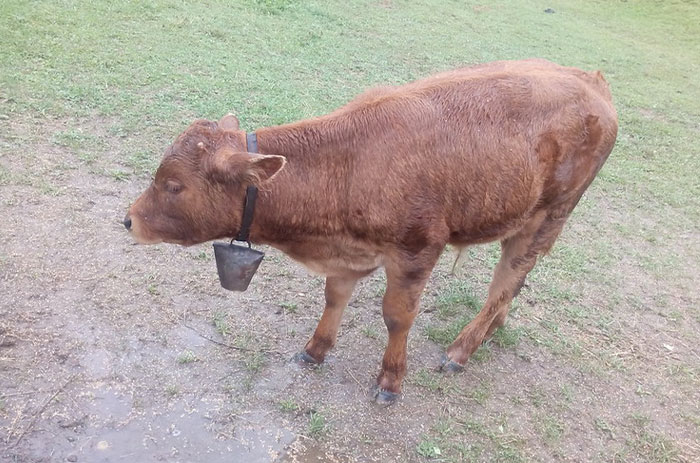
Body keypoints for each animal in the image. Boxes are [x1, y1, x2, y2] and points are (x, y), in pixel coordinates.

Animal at [126, 59, 616, 406]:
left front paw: (391, 381)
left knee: (507, 281)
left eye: (174, 185)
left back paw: (461, 350)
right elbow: (334, 297)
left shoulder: (418, 249)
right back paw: (493, 329)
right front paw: (315, 350)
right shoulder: (347, 253)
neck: (348, 164)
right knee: (511, 286)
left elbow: (397, 316)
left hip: (548, 216)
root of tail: (591, 81)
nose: (129, 218)